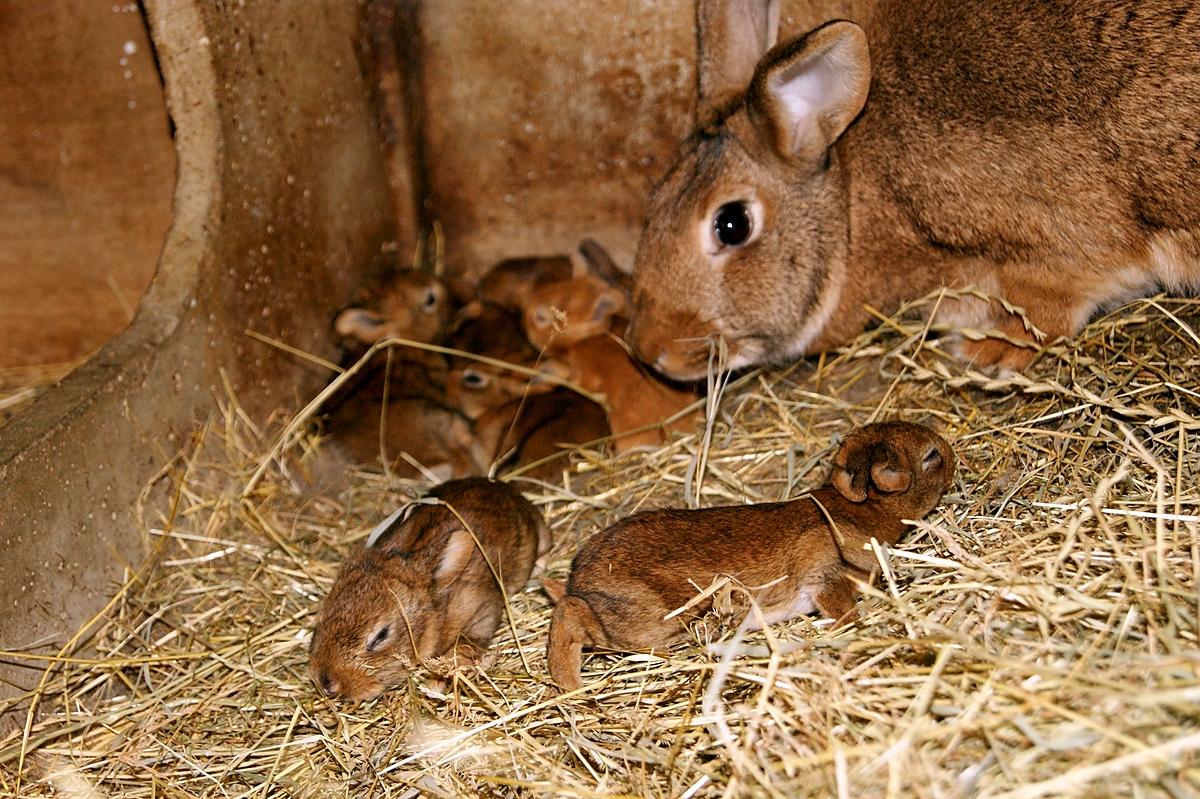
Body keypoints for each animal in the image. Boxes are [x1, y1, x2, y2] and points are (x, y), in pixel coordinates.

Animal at [309, 475, 552, 700]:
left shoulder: (482, 612)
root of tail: (502, 487)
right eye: (319, 621)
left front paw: (436, 684)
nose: (327, 682)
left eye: (381, 636)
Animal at [628, 0, 1200, 374]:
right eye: (653, 202)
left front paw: (991, 351)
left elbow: (1054, 299)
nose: (648, 350)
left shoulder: (1058, 239)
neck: (856, 207)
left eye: (731, 225)